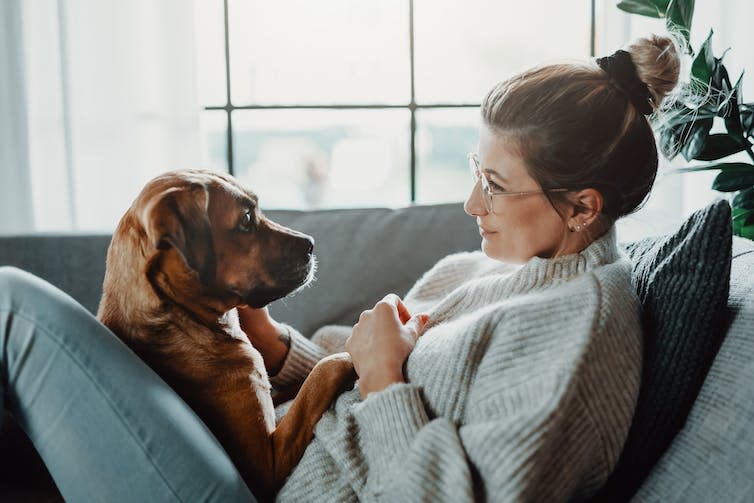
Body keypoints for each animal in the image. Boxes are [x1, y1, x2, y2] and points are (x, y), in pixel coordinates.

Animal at [97, 171, 356, 502]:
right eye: (246, 220)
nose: (311, 244)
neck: (182, 319)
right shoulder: (266, 463)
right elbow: (322, 374)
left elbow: (299, 386)